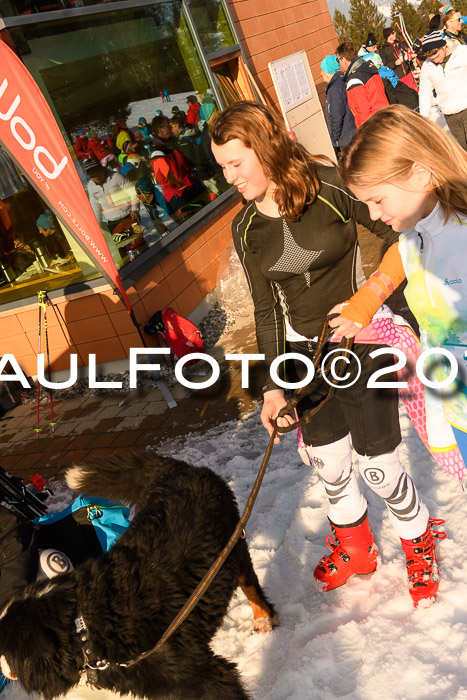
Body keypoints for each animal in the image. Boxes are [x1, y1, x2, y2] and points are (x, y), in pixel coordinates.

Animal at [0, 454, 278, 700]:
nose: (0, 667)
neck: (84, 627)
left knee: (251, 586)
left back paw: (263, 619)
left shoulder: (198, 674)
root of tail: (175, 469)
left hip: (233, 547)